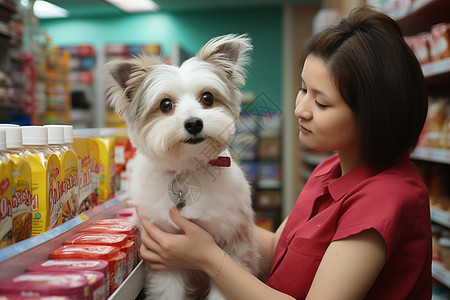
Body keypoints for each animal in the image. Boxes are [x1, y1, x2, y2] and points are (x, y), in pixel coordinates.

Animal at [105, 34, 258, 298]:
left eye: (207, 98)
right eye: (165, 104)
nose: (194, 123)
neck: (187, 170)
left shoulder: (234, 243)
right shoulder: (165, 254)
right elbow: (168, 289)